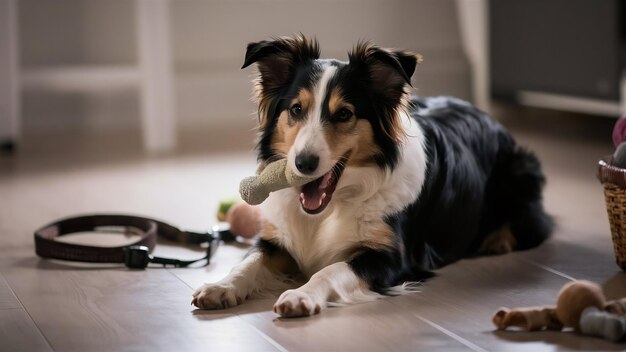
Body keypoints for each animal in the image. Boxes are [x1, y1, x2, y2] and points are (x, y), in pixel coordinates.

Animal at [191, 37, 552, 318]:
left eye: (344, 113)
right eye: (295, 109)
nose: (303, 164)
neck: (331, 208)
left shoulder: (391, 258)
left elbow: (331, 269)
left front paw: (301, 295)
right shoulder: (276, 240)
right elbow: (248, 262)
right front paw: (220, 287)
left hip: (522, 170)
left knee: (536, 224)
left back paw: (499, 240)